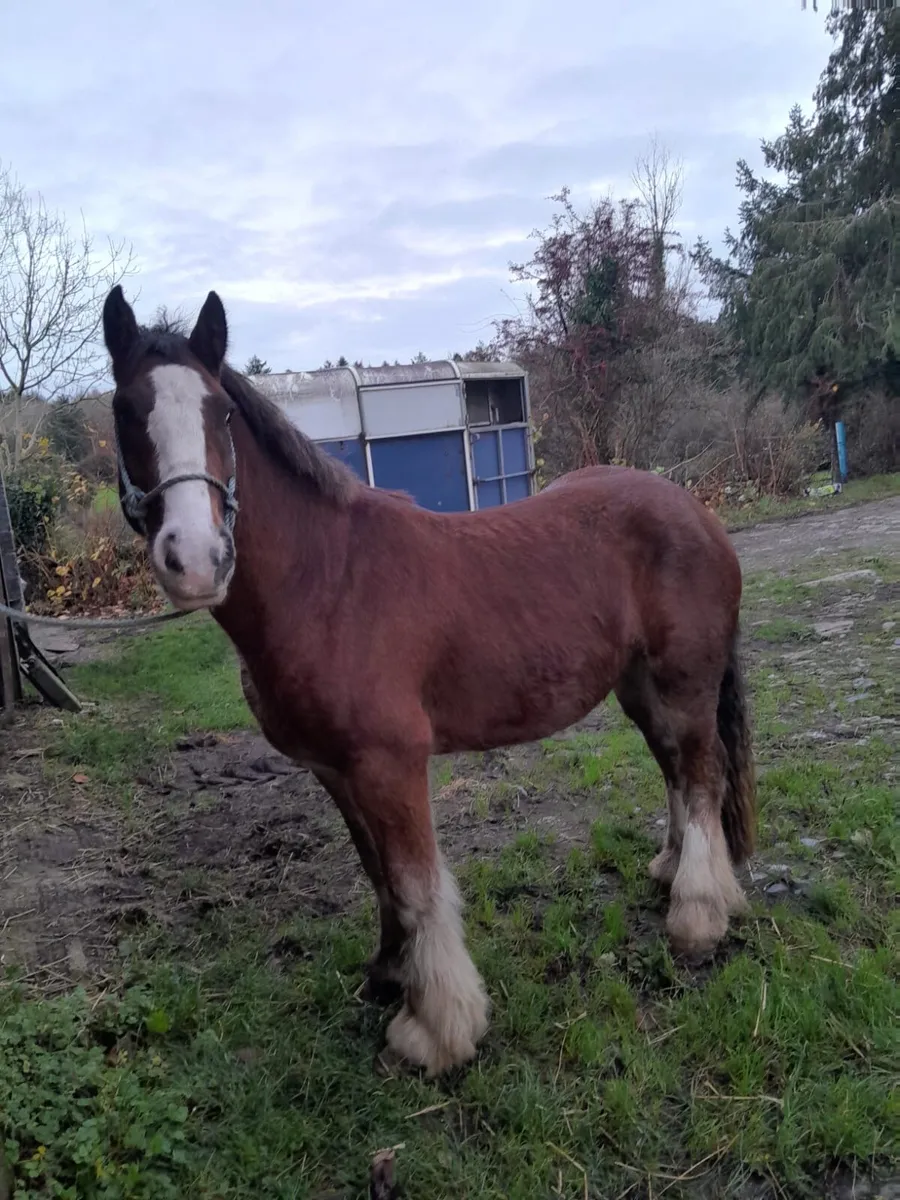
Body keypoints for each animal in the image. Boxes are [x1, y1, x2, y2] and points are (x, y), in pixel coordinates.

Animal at [101, 285, 756, 1077]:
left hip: (685, 682)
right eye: (124, 410)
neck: (326, 582)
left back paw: (697, 916)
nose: (195, 559)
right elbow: (377, 872)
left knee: (702, 774)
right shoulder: (334, 769)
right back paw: (671, 871)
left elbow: (416, 886)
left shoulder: (390, 763)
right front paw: (388, 974)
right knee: (676, 769)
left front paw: (437, 1029)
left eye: (221, 411)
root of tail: (696, 511)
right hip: (640, 688)